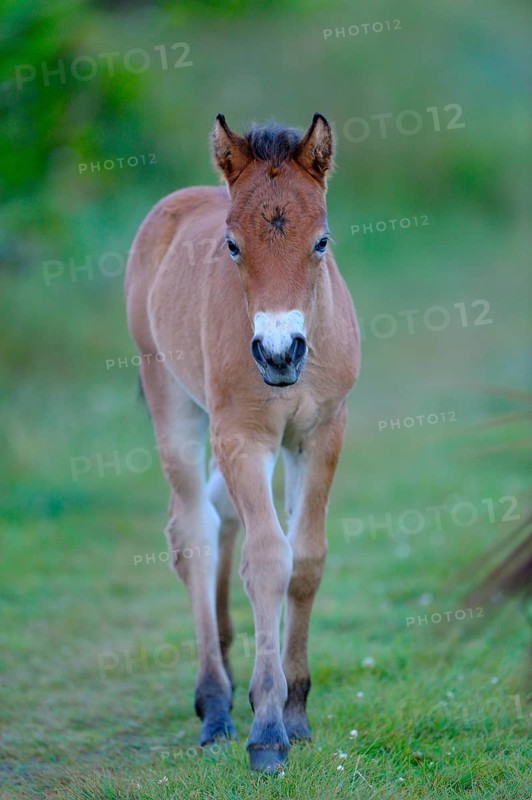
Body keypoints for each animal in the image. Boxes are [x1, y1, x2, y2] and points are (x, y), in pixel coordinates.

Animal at [125, 113, 360, 772]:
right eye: (232, 245)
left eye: (322, 242)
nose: (279, 354)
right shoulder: (241, 436)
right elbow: (269, 560)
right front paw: (267, 729)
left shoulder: (321, 432)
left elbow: (308, 559)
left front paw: (297, 711)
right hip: (169, 396)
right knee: (194, 532)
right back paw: (215, 704)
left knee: (219, 514)